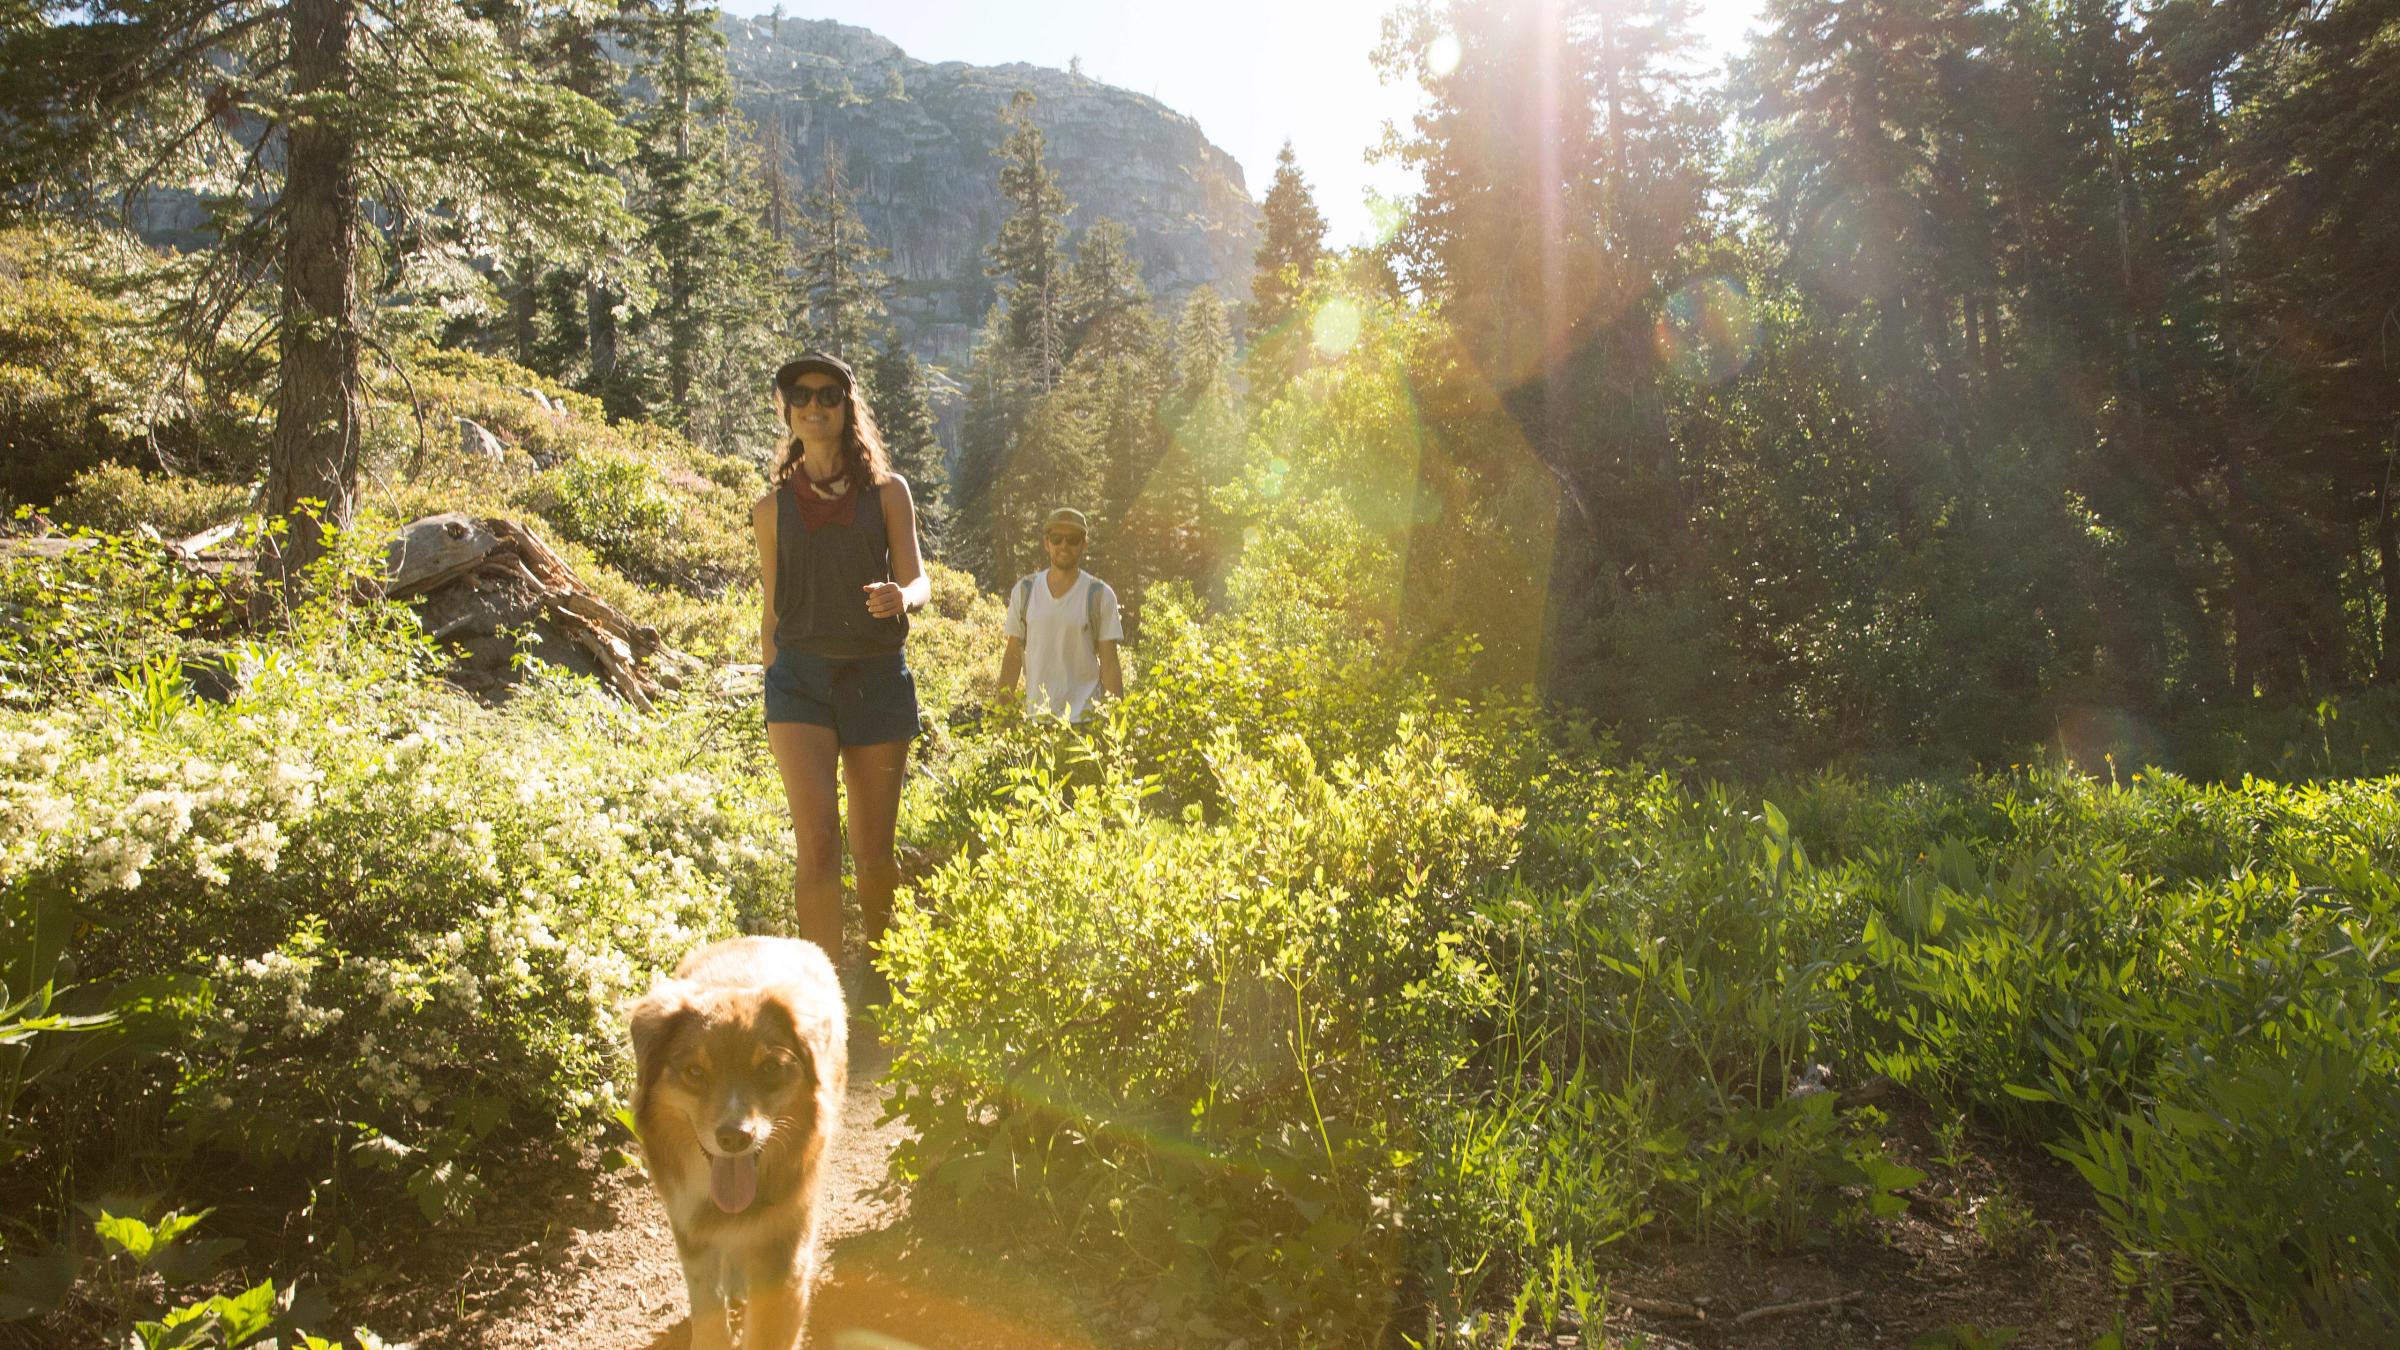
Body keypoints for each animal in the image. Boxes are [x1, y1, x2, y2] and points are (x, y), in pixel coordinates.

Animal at [633, 936, 849, 1345]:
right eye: (694, 1072)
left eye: (769, 1068)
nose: (735, 1137)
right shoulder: (688, 1230)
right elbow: (707, 1311)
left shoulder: (784, 1252)